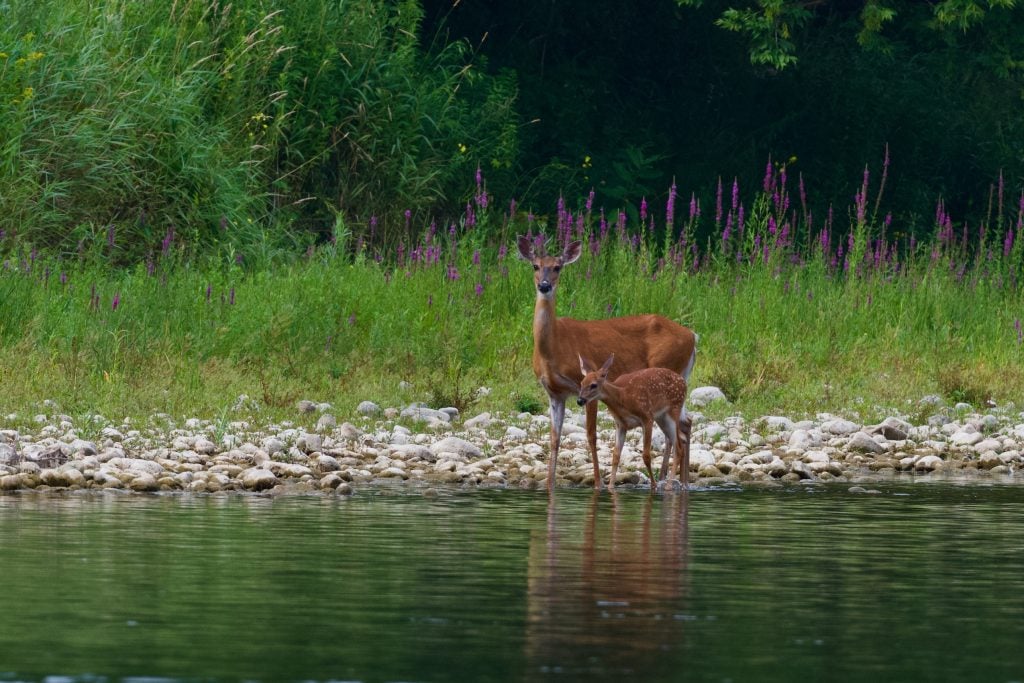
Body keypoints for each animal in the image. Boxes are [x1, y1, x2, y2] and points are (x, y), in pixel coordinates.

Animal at [576, 354, 690, 488]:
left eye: (593, 385)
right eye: (582, 383)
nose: (580, 400)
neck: (623, 397)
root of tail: (684, 383)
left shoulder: (647, 416)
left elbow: (646, 455)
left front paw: (654, 486)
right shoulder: (621, 425)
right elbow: (615, 455)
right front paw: (610, 487)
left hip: (674, 410)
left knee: (678, 446)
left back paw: (668, 486)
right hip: (662, 418)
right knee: (680, 440)